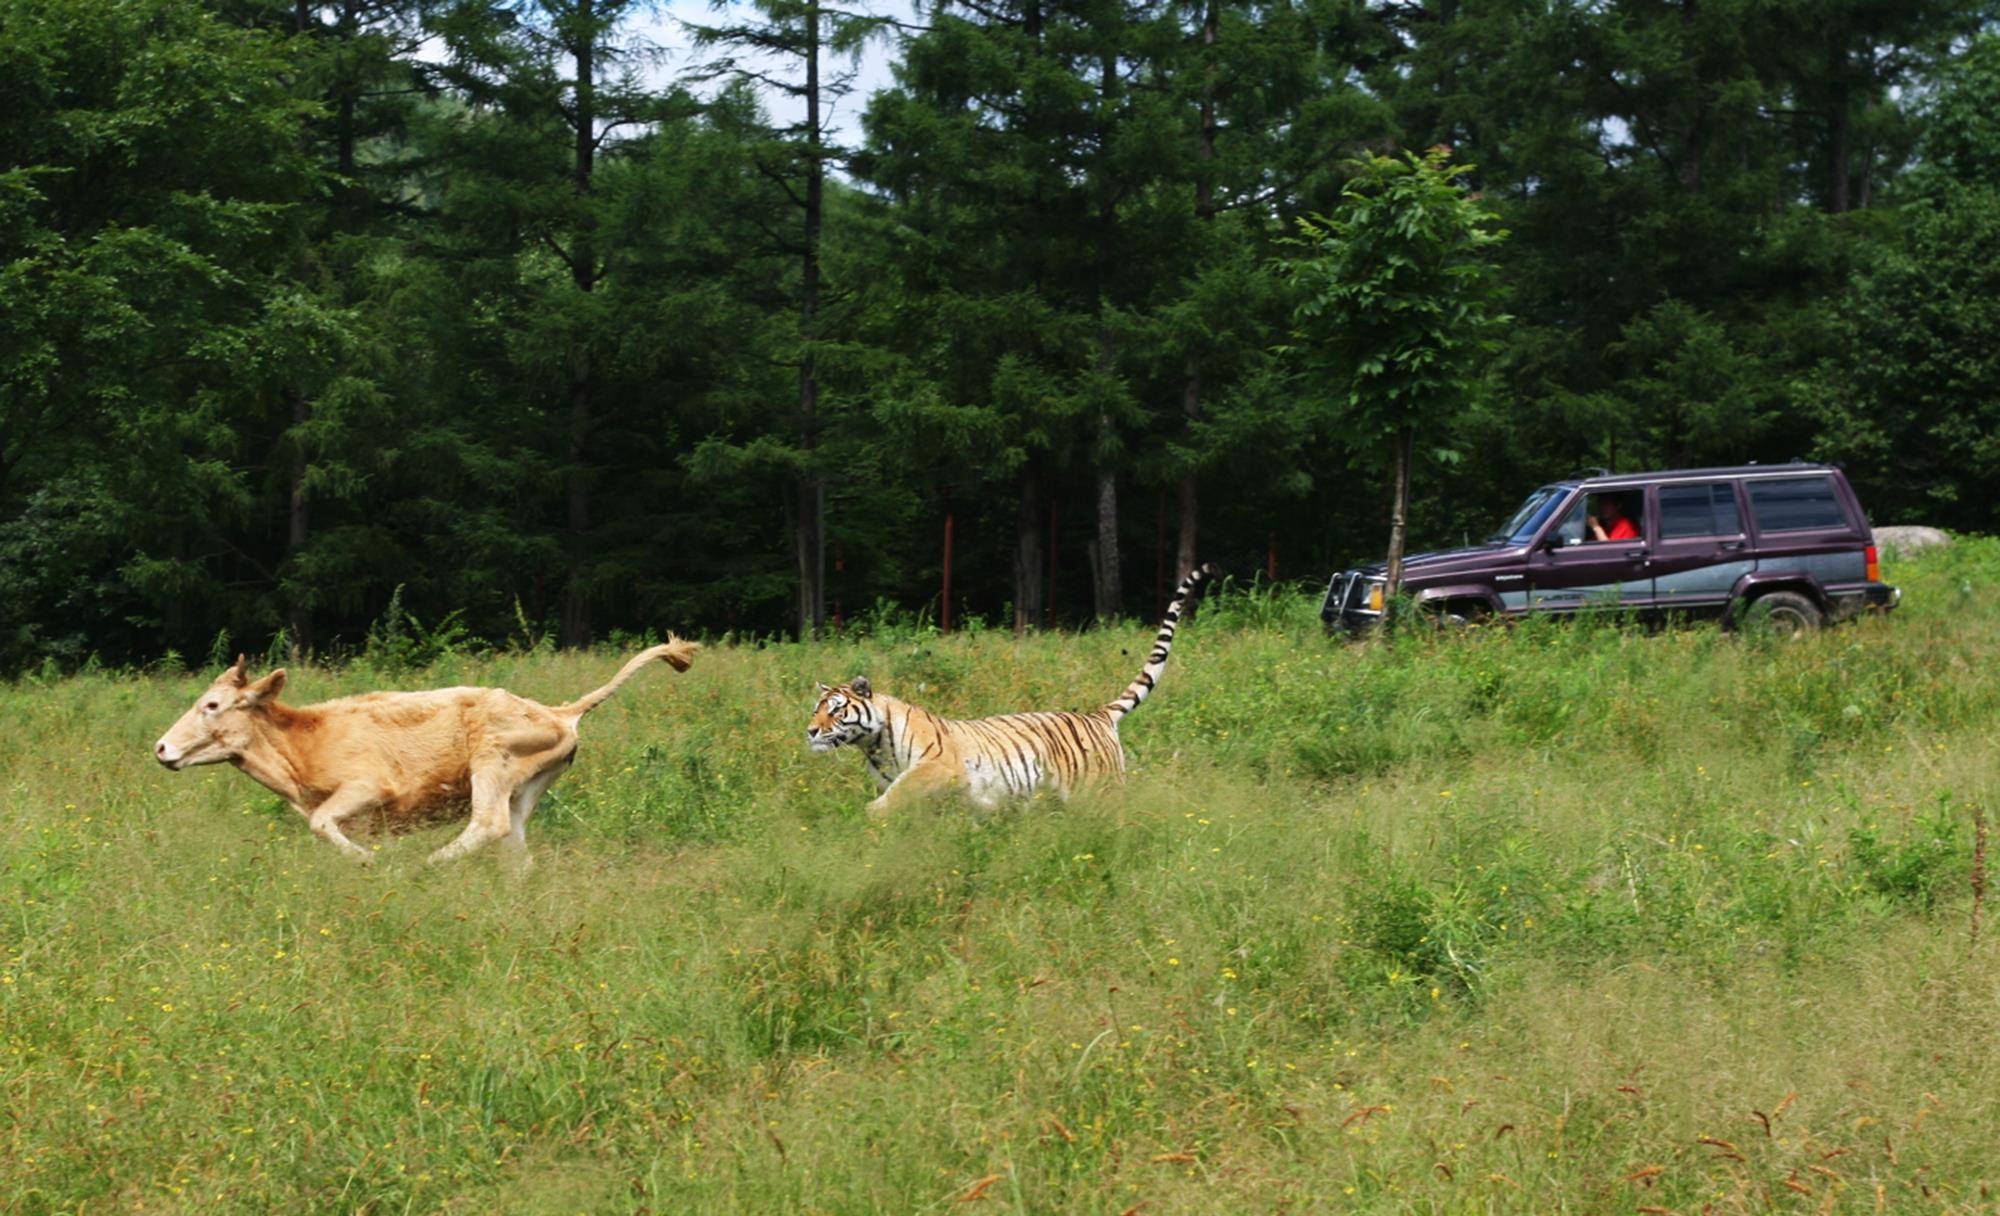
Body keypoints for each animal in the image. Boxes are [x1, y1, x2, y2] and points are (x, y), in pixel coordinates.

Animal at [150, 636, 696, 864]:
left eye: (212, 705)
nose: (161, 747)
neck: (300, 746)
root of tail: (559, 711)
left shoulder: (368, 787)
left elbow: (321, 823)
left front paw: (368, 862)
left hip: (491, 760)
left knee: (487, 824)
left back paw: (431, 864)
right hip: (526, 788)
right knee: (514, 844)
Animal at [800, 564, 1216, 812]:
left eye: (835, 709)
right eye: (815, 708)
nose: (811, 731)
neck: (872, 744)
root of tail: (1097, 716)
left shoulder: (937, 767)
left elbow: (897, 795)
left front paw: (871, 816)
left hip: (1100, 790)